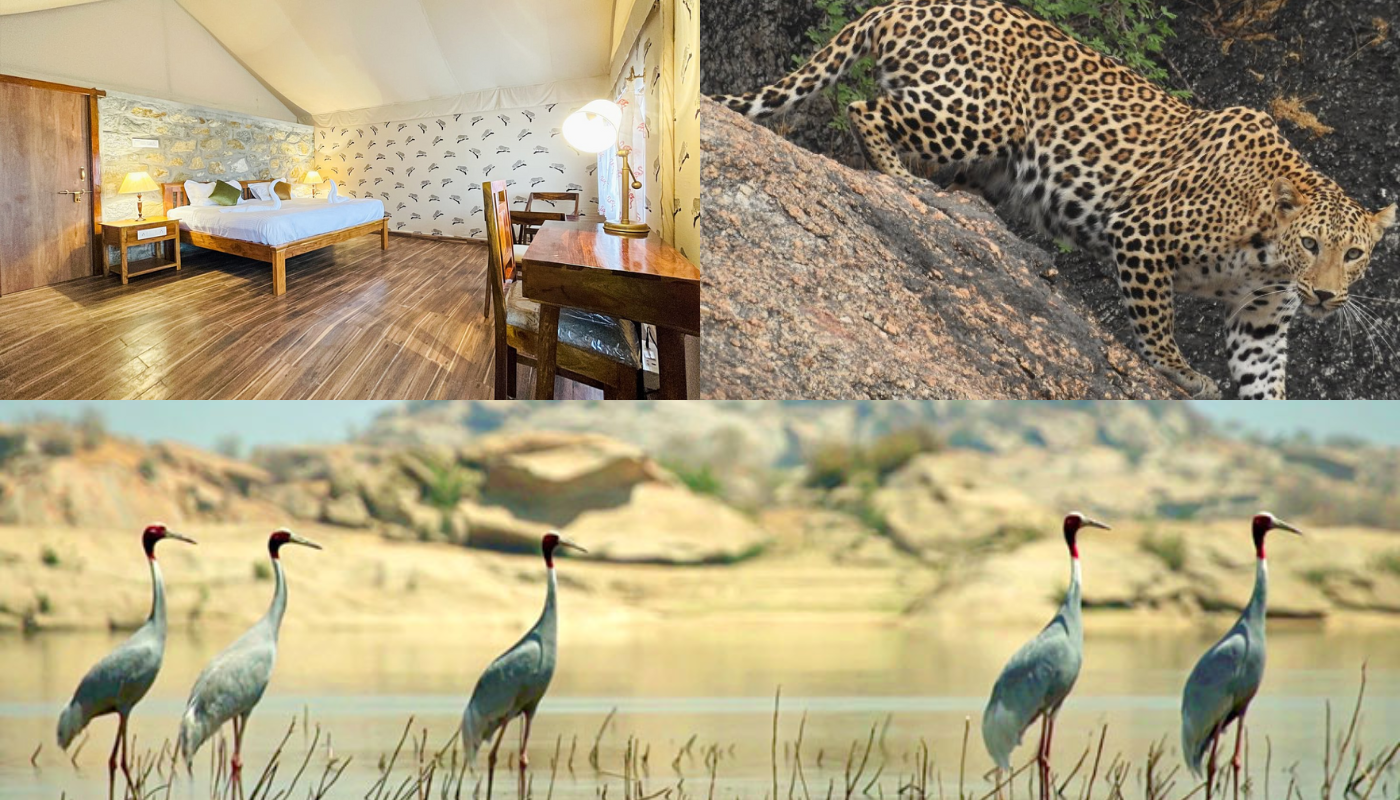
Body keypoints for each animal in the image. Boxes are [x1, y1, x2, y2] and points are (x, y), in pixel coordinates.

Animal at [715, 0, 1395, 399]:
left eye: (1355, 254)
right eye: (1312, 243)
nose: (1328, 296)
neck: (1267, 254)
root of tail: (906, 2)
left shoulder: (1261, 319)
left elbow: (1265, 382)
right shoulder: (1141, 235)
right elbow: (1157, 325)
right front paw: (1180, 373)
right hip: (979, 114)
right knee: (864, 108)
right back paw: (900, 178)